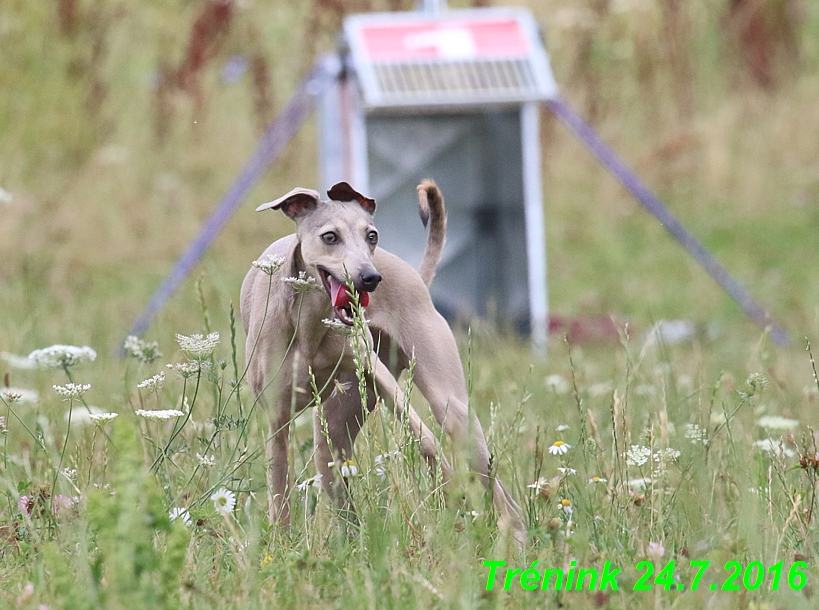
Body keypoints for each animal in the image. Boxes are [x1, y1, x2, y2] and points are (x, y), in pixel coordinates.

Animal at [242, 178, 524, 540]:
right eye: (330, 237)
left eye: (371, 235)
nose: (370, 278)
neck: (310, 324)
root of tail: (415, 275)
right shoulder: (277, 419)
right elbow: (279, 488)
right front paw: (281, 543)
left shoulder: (378, 374)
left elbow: (428, 442)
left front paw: (455, 493)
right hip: (331, 438)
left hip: (452, 411)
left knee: (493, 484)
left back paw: (512, 532)